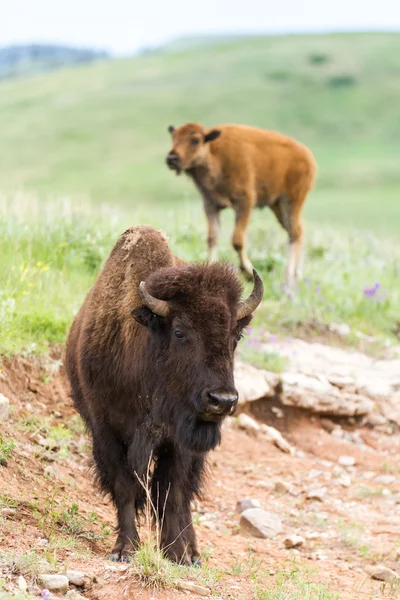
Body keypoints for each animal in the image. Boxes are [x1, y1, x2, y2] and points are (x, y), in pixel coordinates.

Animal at [64, 225, 264, 564]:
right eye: (180, 332)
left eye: (235, 336)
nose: (222, 400)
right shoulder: (107, 433)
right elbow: (125, 487)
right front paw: (124, 549)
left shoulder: (179, 444)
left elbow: (173, 494)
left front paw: (177, 553)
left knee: (184, 497)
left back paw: (192, 552)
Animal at [165, 122, 316, 286]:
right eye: (173, 138)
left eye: (195, 140)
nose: (172, 158)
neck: (214, 153)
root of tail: (308, 157)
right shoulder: (211, 204)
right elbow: (212, 237)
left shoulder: (245, 202)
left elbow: (237, 239)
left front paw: (248, 272)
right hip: (277, 206)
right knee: (297, 231)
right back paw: (296, 275)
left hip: (291, 200)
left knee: (295, 232)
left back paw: (288, 279)